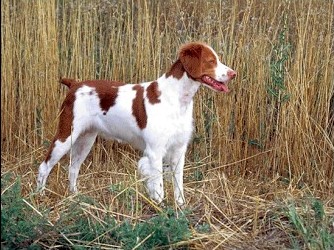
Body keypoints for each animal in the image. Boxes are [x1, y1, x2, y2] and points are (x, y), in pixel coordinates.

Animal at [36, 42, 236, 206]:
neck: (177, 99)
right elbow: (159, 185)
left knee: (73, 168)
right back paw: (39, 196)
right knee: (44, 166)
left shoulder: (179, 150)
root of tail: (75, 84)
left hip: (86, 139)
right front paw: (160, 207)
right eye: (211, 61)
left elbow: (178, 184)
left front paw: (180, 207)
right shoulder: (155, 150)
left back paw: (75, 196)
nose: (233, 74)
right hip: (66, 135)